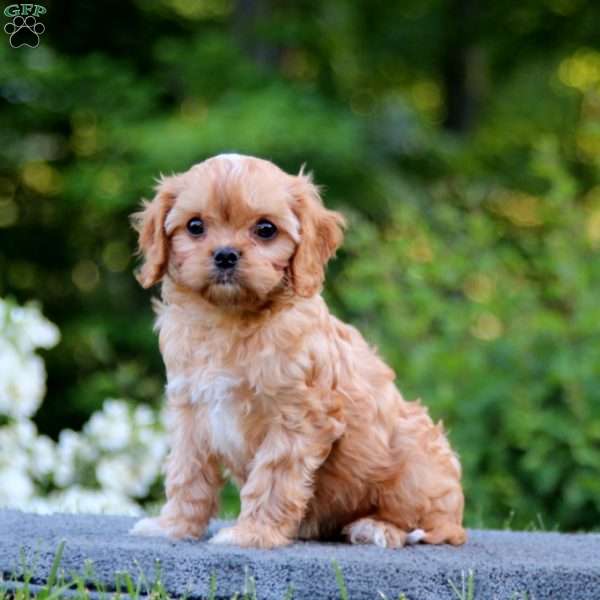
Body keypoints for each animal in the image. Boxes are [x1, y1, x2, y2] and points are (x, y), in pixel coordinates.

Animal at [130, 154, 468, 548]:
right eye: (195, 226)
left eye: (265, 229)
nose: (226, 255)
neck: (231, 319)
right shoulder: (191, 413)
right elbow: (187, 474)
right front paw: (174, 526)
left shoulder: (298, 417)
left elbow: (273, 478)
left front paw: (251, 534)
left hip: (416, 461)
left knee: (437, 527)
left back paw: (377, 527)